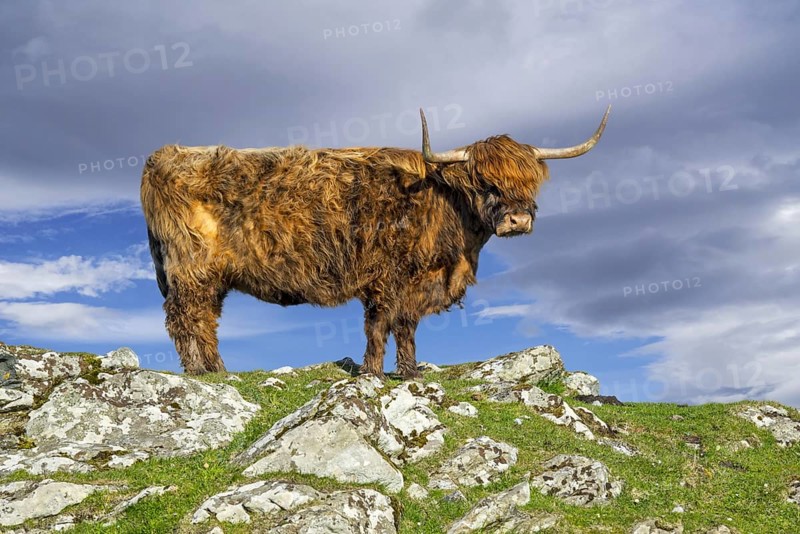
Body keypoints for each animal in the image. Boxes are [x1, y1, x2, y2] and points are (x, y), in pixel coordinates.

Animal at [141, 106, 610, 379]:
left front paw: (411, 372)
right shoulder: (386, 276)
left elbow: (406, 327)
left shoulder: (416, 282)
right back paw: (207, 372)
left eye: (530, 181)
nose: (518, 219)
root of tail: (163, 155)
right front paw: (371, 373)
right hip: (192, 268)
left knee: (202, 319)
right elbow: (379, 325)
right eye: (485, 182)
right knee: (188, 319)